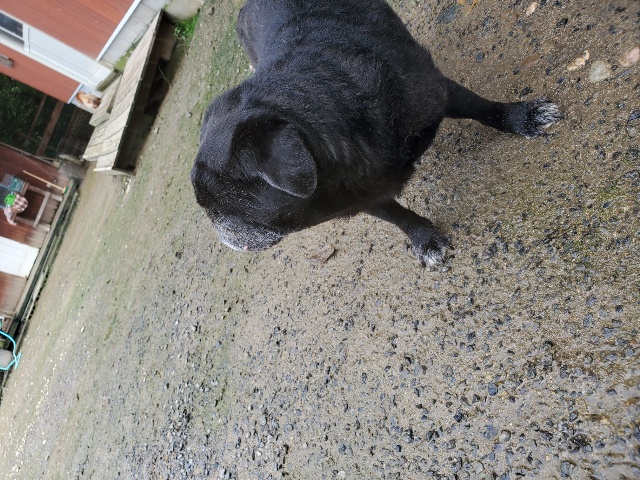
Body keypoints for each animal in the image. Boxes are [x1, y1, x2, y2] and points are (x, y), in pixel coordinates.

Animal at [192, 0, 562, 266]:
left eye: (225, 207)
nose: (218, 229)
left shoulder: (437, 92)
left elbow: (480, 108)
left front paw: (521, 117)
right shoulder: (356, 197)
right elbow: (396, 214)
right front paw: (424, 237)